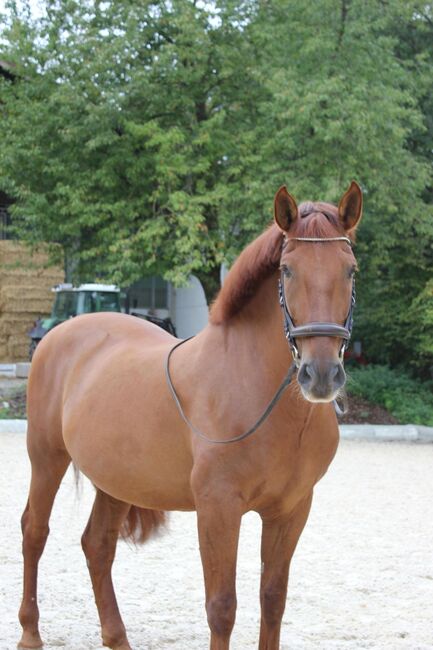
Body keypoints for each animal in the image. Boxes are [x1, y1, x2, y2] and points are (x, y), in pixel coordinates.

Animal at [18, 181, 362, 650]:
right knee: (35, 532)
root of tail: (60, 333)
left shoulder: (291, 509)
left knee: (98, 545)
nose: (321, 374)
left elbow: (273, 599)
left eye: (350, 270)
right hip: (46, 459)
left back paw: (116, 637)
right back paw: (30, 632)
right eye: (287, 270)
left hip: (115, 479)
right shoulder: (218, 508)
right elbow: (222, 608)